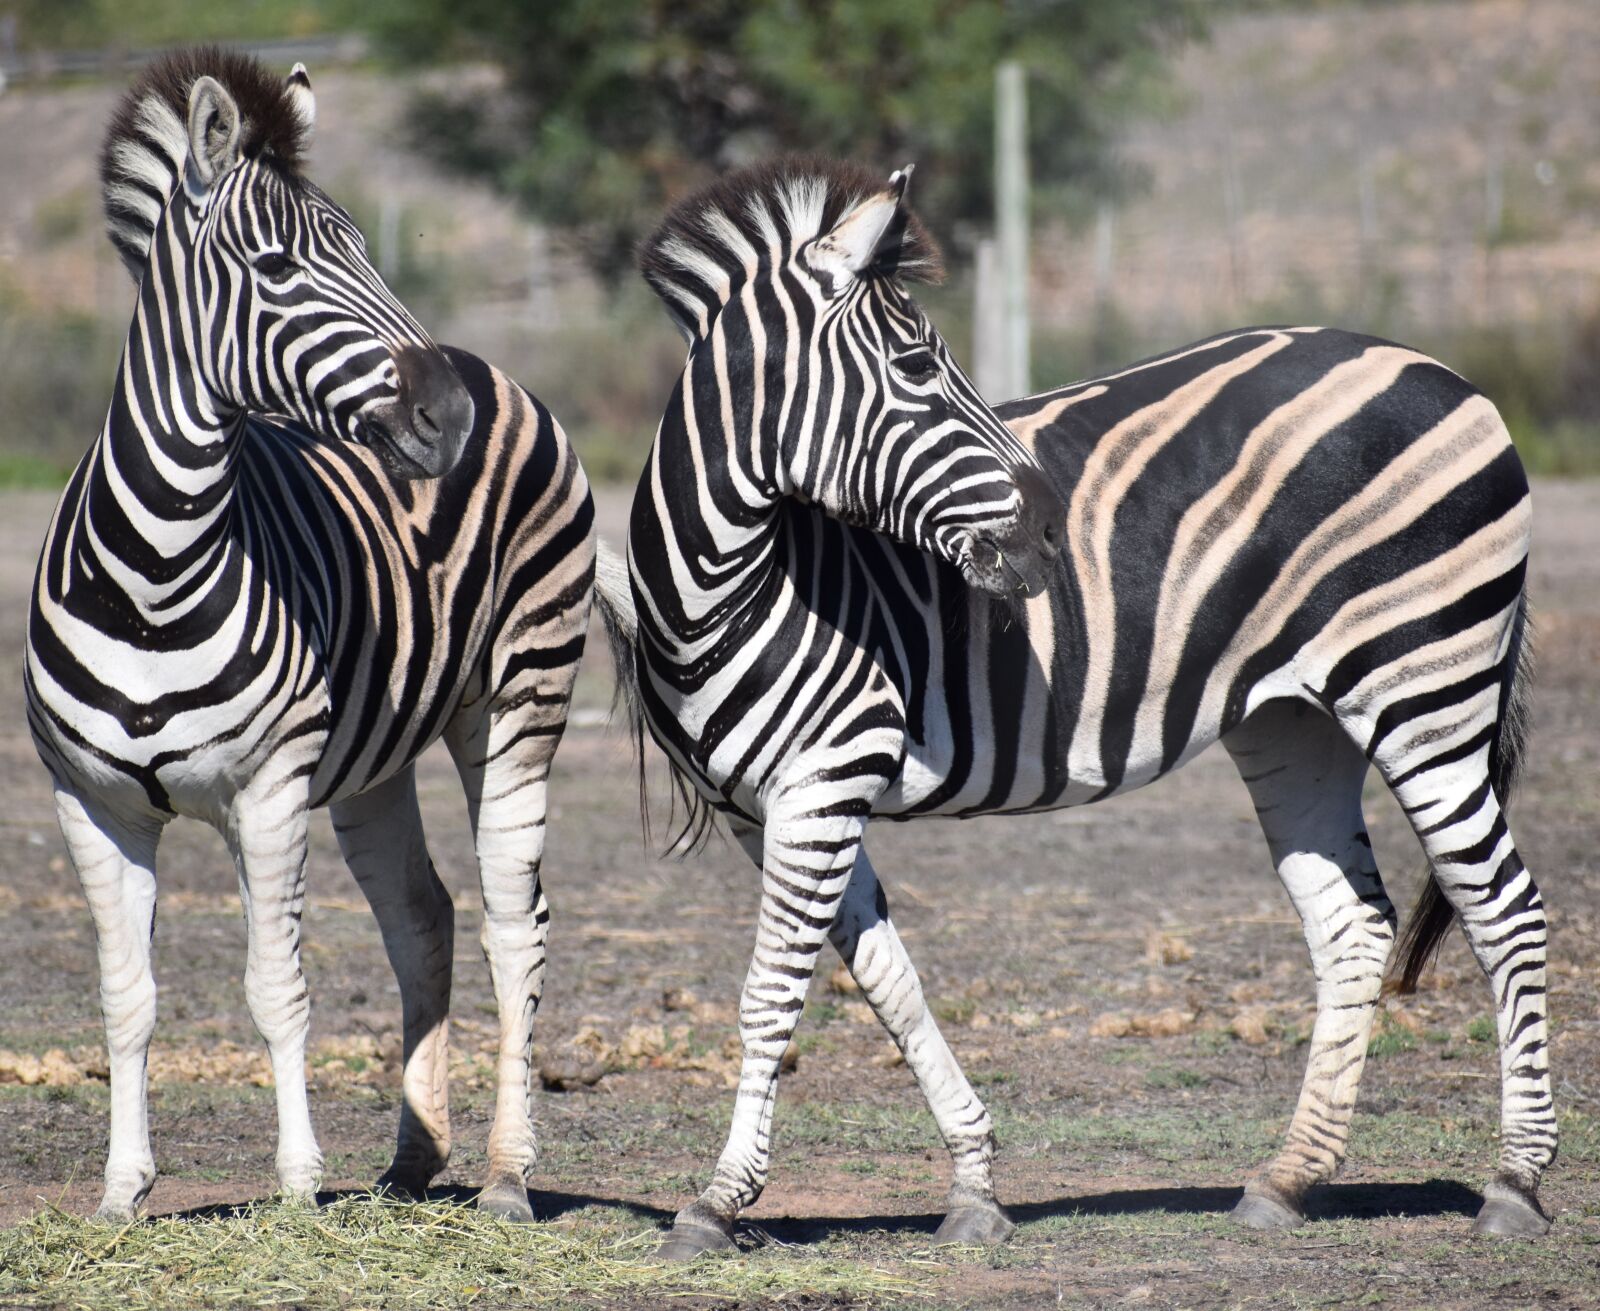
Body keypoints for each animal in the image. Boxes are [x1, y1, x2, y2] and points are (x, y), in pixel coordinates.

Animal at [25, 47, 596, 1224]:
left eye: (369, 250)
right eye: (279, 264)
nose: (446, 417)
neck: (153, 572)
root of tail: (490, 364)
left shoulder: (271, 787)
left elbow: (275, 985)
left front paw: (294, 1186)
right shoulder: (90, 802)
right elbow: (125, 995)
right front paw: (120, 1190)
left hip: (519, 701)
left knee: (514, 922)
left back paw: (508, 1173)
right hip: (376, 754)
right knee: (422, 914)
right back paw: (415, 1157)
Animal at [594, 155, 1553, 1257]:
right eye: (916, 365)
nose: (1053, 530)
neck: (731, 582)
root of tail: (1446, 373)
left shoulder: (825, 779)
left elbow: (771, 994)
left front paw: (718, 1198)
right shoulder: (769, 806)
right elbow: (886, 981)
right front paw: (973, 1181)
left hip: (1426, 681)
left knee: (1505, 907)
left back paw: (1515, 1181)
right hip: (1294, 720)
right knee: (1352, 925)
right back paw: (1287, 1178)